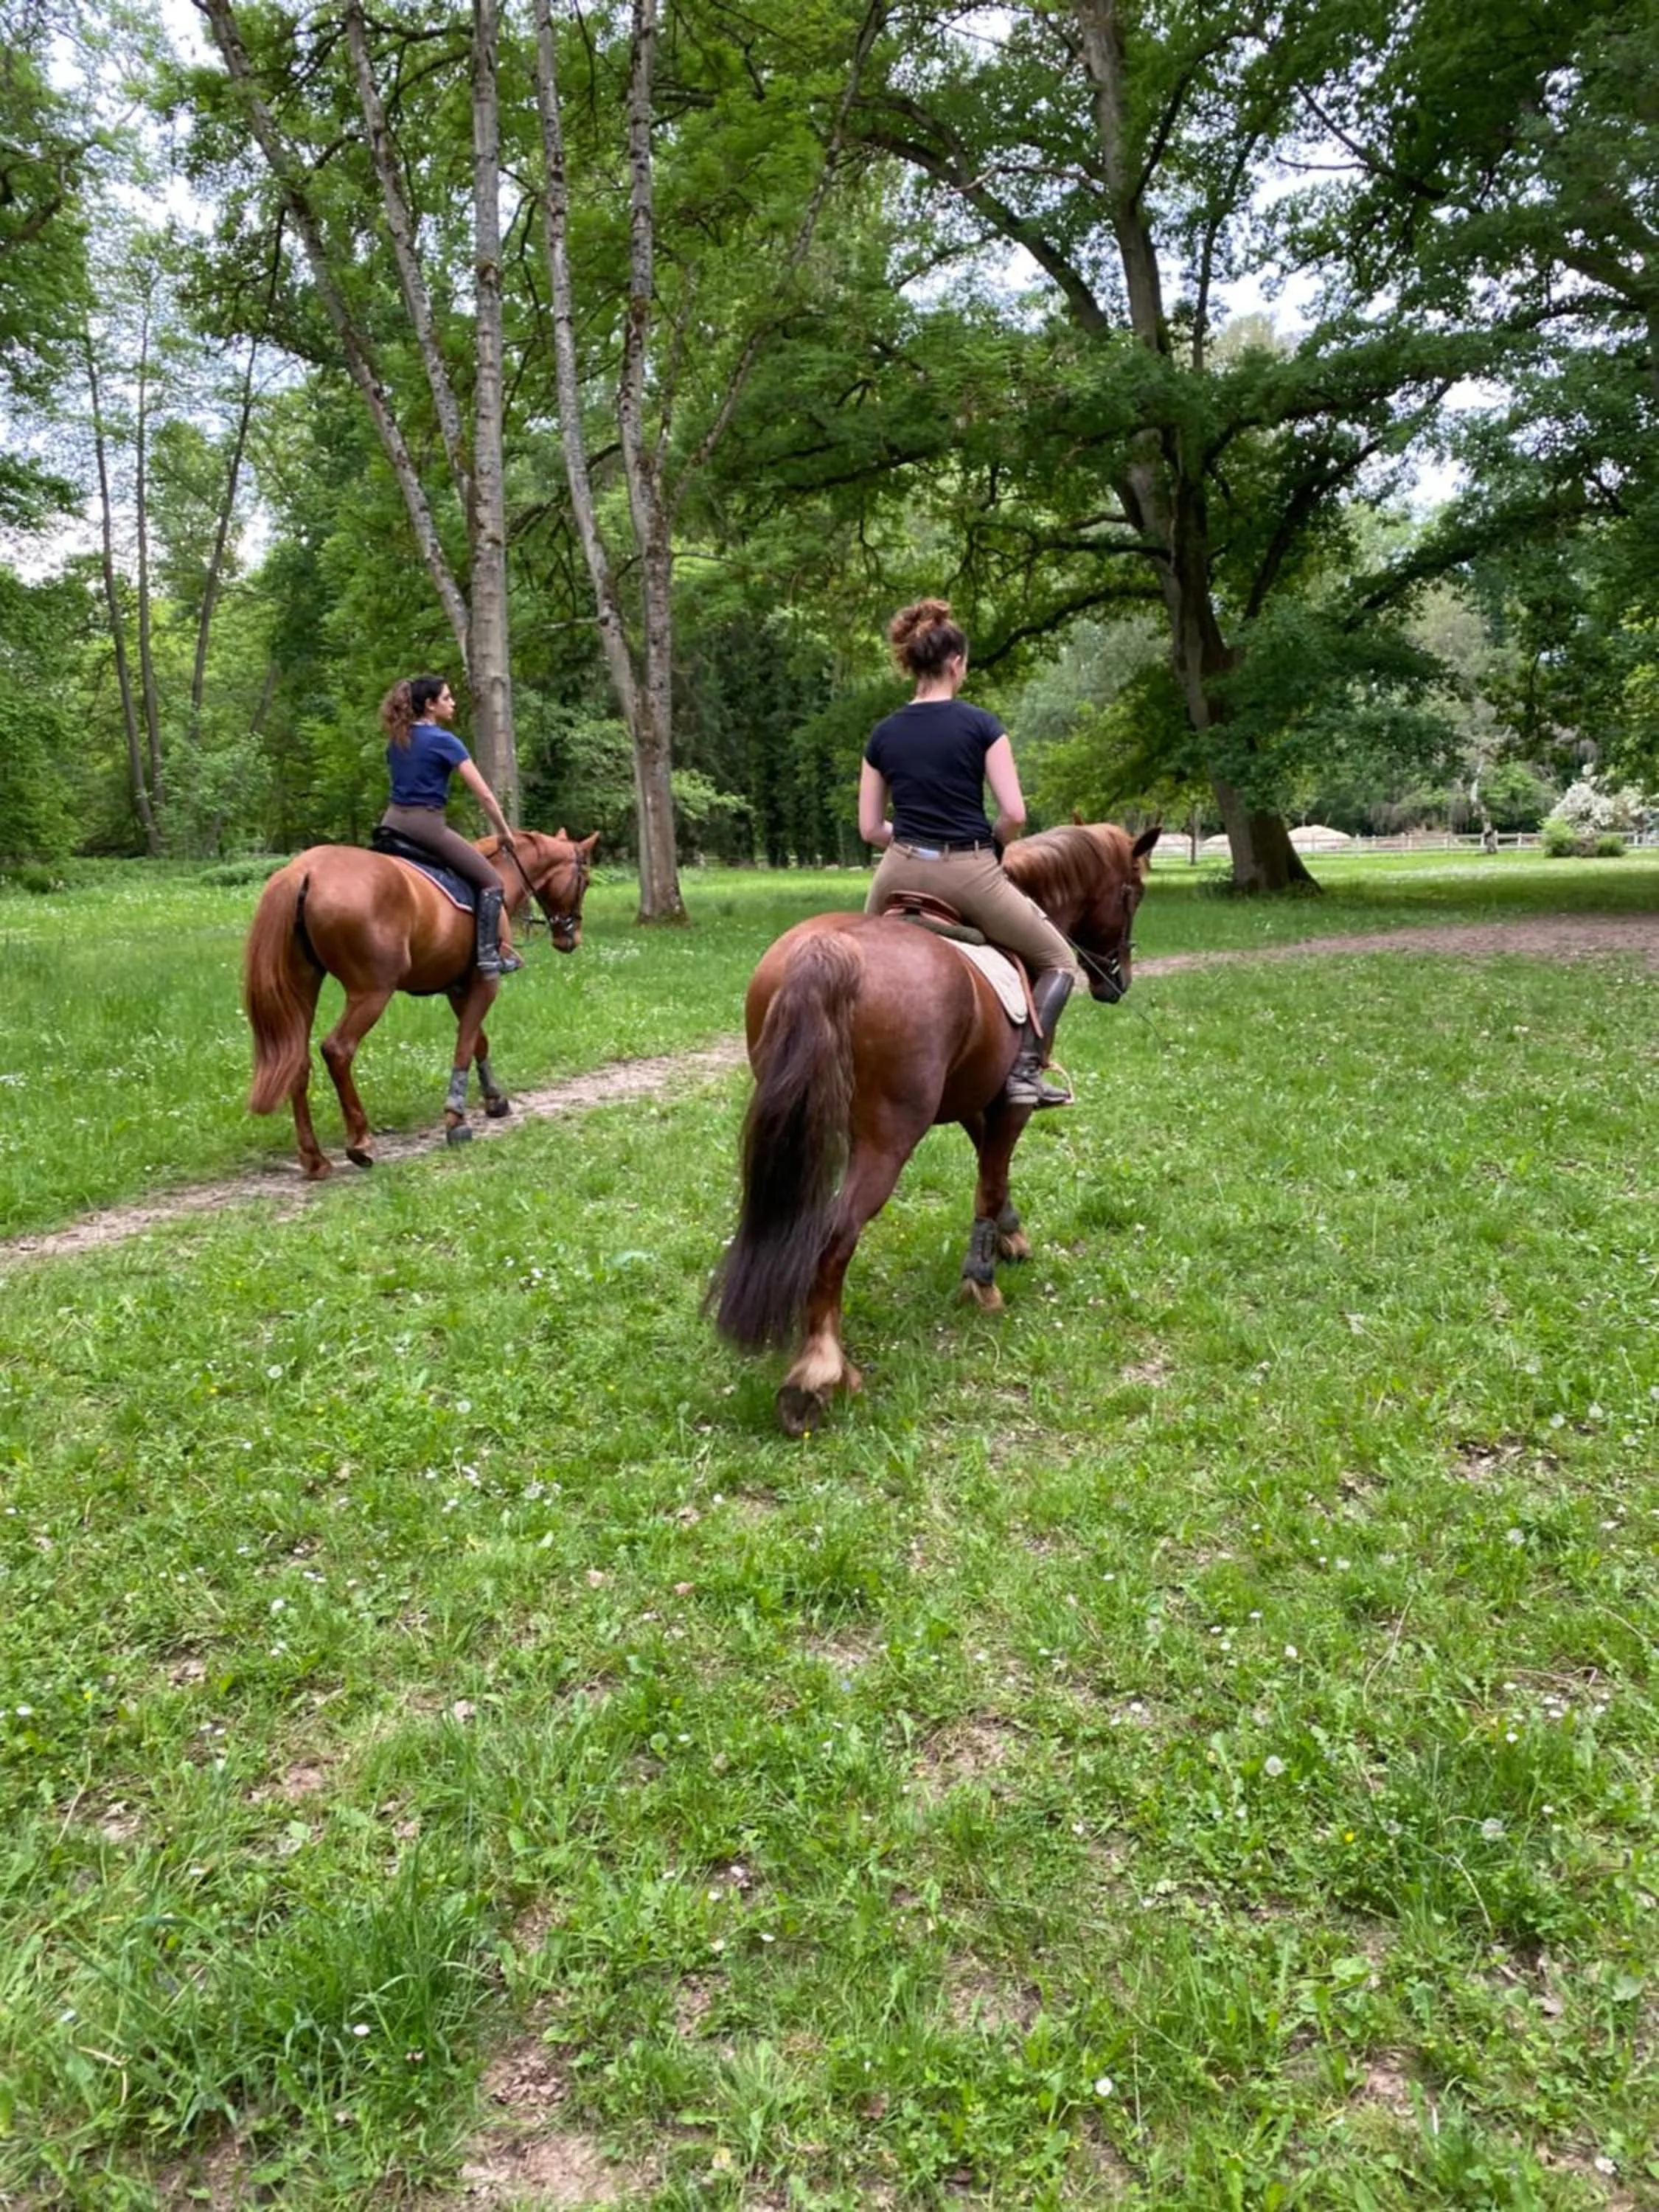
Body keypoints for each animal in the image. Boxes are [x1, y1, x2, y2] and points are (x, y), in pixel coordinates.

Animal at [244, 828, 599, 1180]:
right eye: (586, 881)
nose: (571, 939)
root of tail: (305, 871)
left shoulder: (459, 989)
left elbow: (478, 1042)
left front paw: (495, 1100)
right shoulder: (486, 982)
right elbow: (465, 1044)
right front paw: (456, 1120)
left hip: (303, 986)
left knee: (298, 1062)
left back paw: (314, 1158)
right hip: (372, 991)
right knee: (338, 1050)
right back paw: (361, 1143)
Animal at [710, 821, 1160, 1435]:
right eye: (1132, 893)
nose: (1117, 982)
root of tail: (830, 950)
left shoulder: (975, 1096)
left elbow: (992, 1170)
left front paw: (1009, 1236)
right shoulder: (1013, 1101)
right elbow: (991, 1175)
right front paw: (982, 1281)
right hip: (886, 1141)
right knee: (835, 1234)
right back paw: (818, 1373)